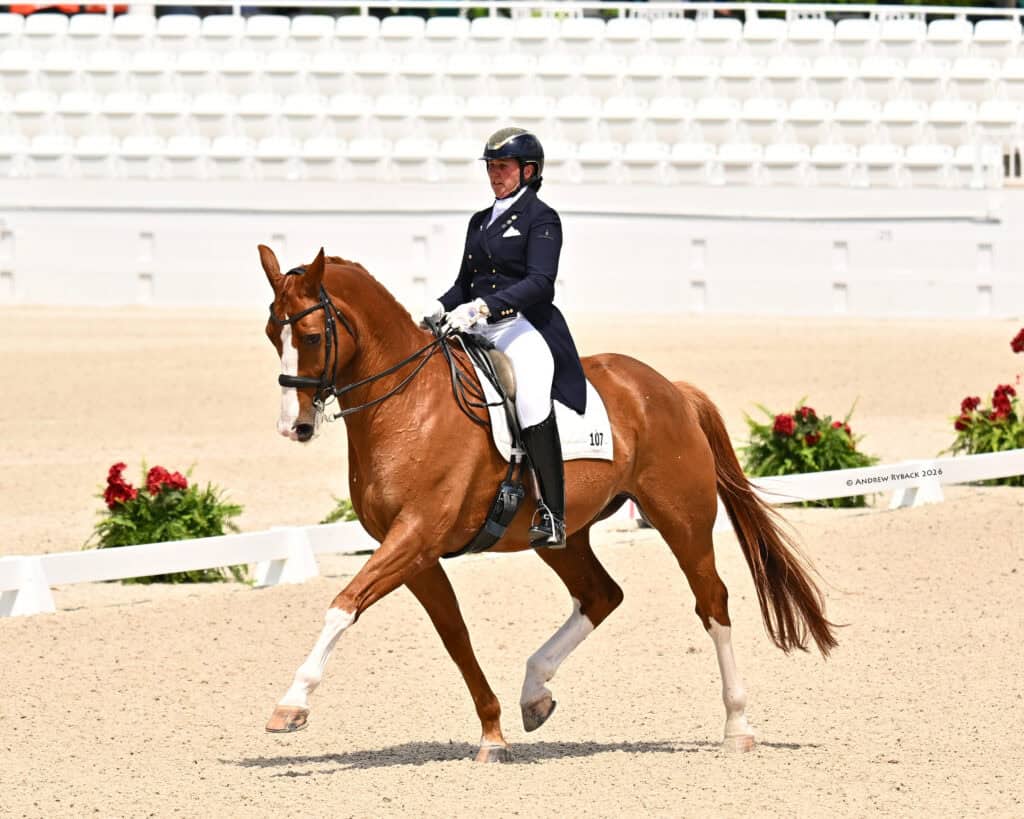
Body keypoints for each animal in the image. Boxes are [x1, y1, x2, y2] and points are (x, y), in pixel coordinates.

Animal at [259, 245, 837, 762]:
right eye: (271, 334)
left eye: (311, 336)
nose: (294, 427)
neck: (406, 405)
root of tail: (668, 389)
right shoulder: (415, 552)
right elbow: (454, 636)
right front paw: (493, 734)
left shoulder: (417, 534)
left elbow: (343, 605)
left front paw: (291, 705)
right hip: (563, 535)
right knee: (601, 595)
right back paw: (534, 694)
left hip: (683, 522)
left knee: (711, 603)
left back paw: (738, 727)